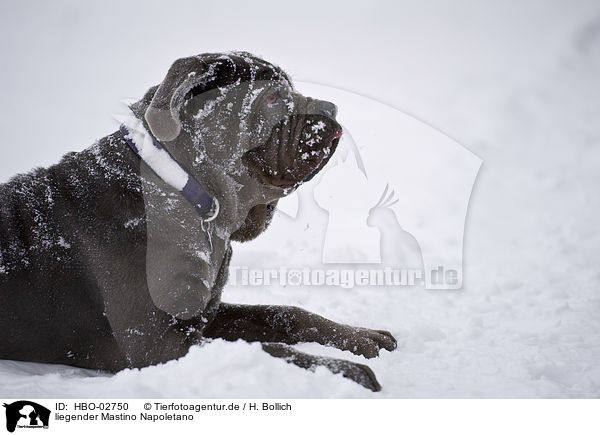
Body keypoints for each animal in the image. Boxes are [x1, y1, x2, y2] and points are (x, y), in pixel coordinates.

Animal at [1, 52, 398, 394]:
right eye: (271, 99)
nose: (332, 107)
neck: (184, 193)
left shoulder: (205, 311)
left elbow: (282, 313)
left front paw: (361, 337)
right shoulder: (161, 343)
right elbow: (270, 349)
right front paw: (347, 370)